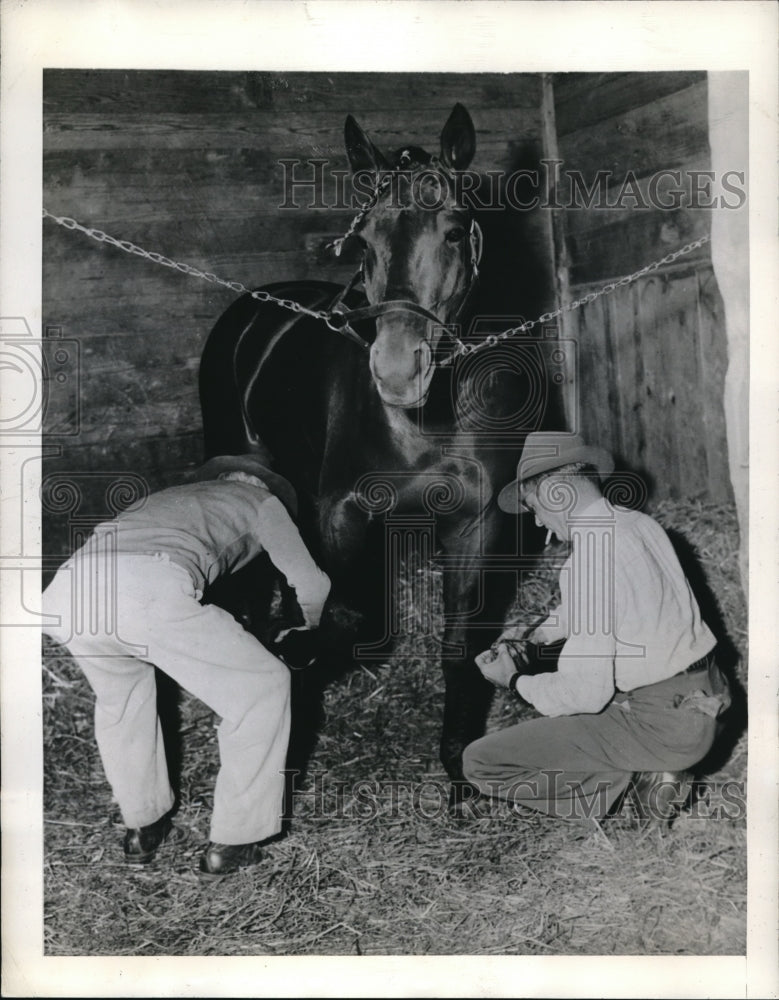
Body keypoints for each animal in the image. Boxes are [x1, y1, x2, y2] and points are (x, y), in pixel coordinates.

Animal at [200, 103, 556, 812]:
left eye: (455, 231)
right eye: (362, 242)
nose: (395, 370)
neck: (426, 421)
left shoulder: (475, 524)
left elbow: (457, 644)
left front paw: (457, 767)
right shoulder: (342, 513)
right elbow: (346, 620)